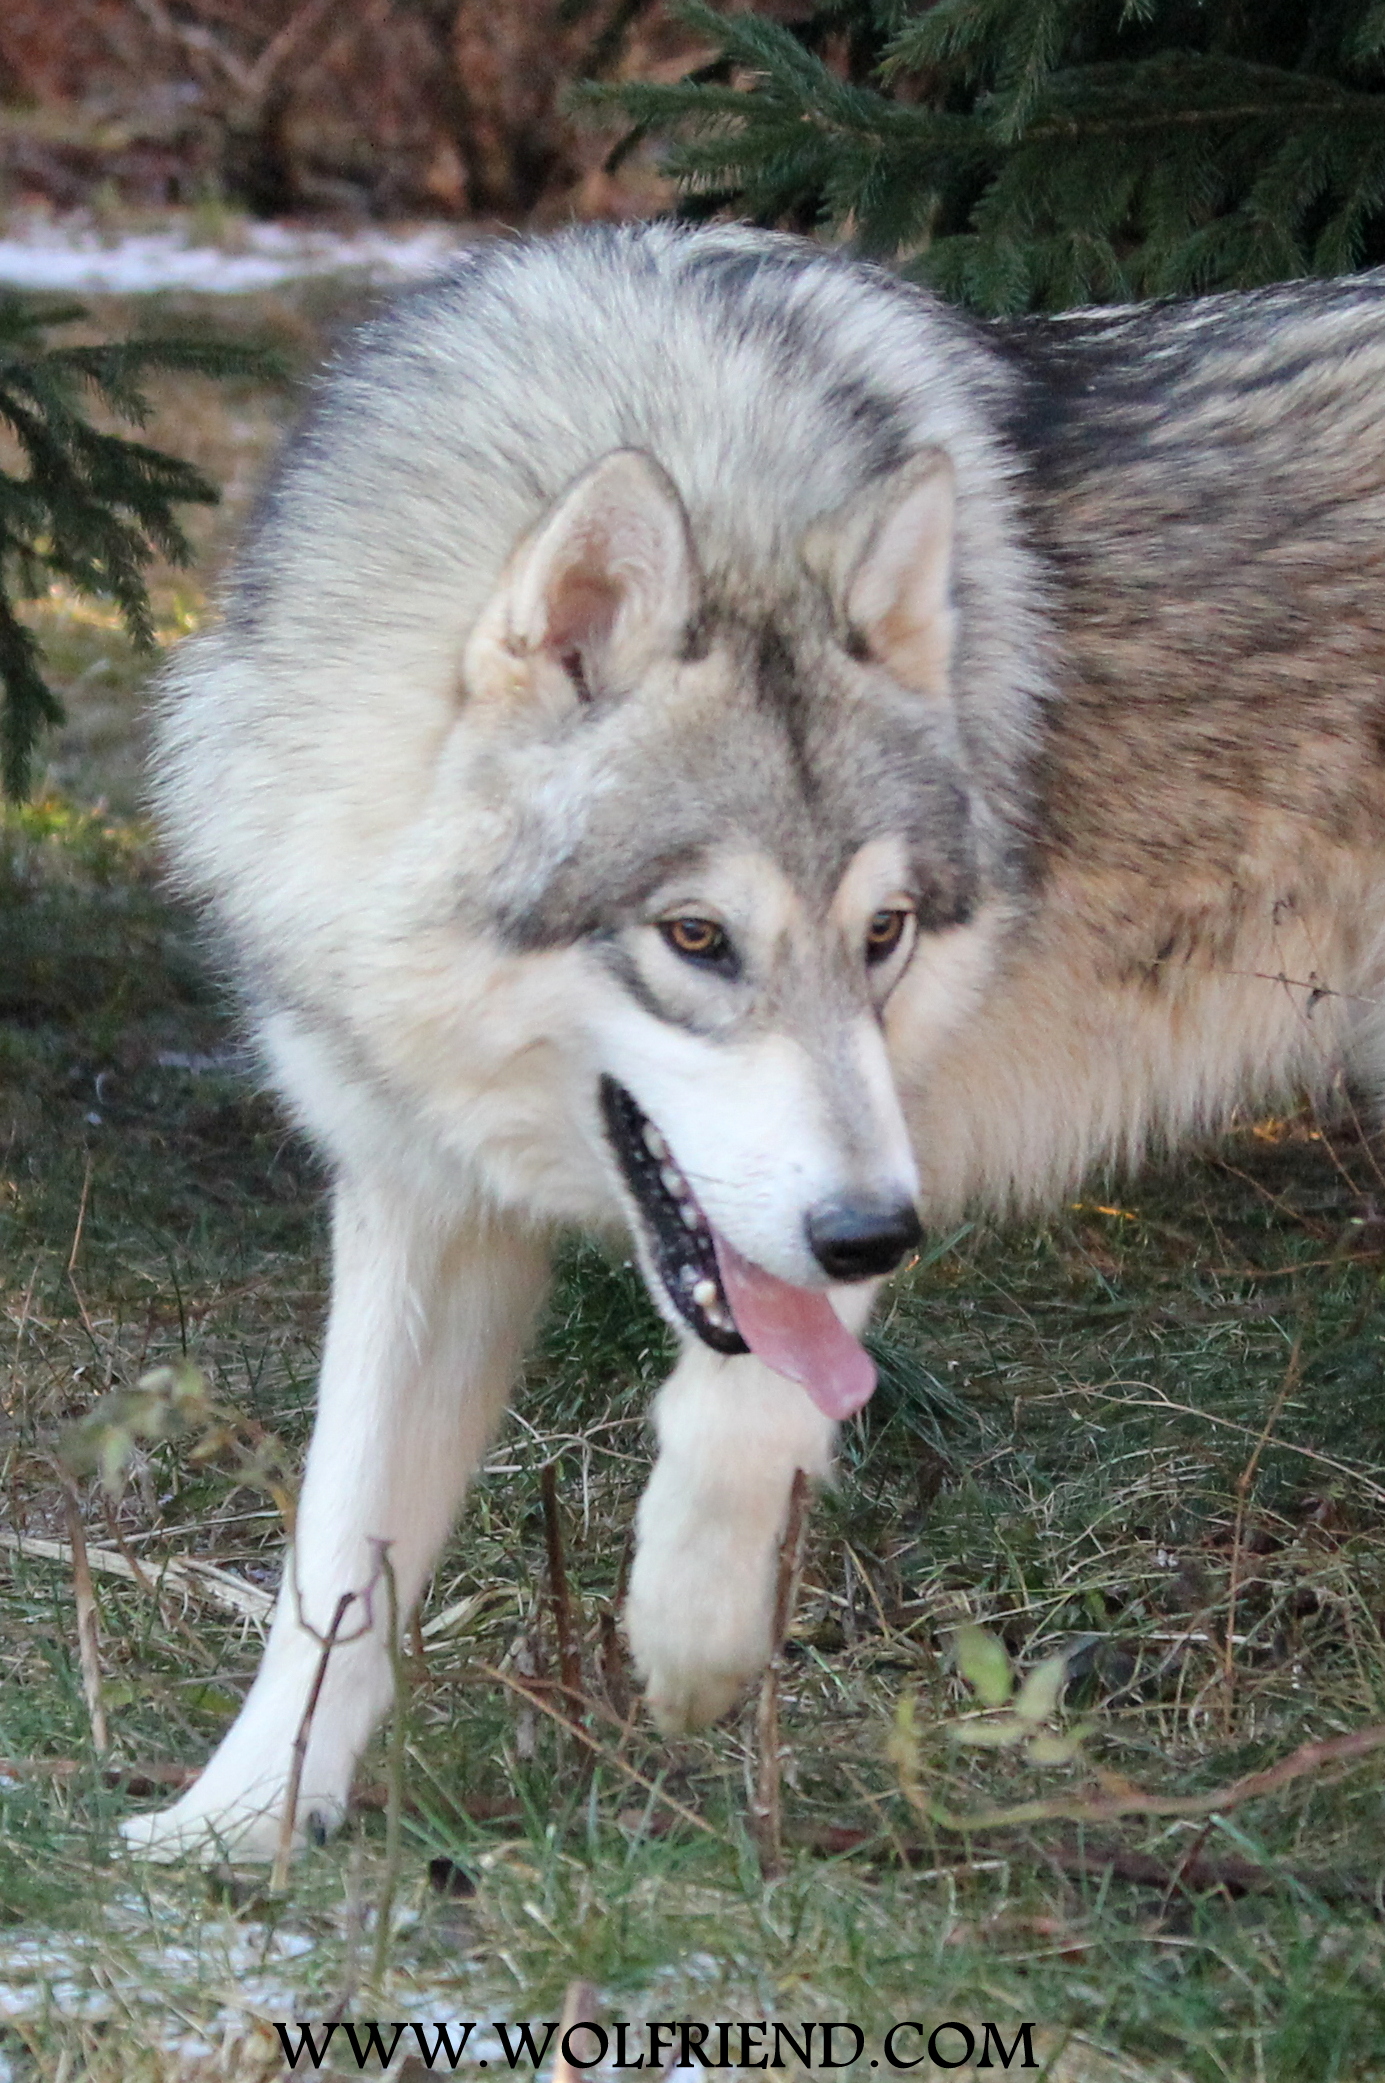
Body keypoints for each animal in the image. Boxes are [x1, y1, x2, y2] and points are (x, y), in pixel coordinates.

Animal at [121, 219, 1385, 1866]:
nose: (874, 1234)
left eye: (885, 931)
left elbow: (744, 1409)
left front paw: (692, 1637)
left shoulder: (893, 1123)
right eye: (697, 936)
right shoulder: (418, 1197)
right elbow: (336, 1549)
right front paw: (239, 1822)